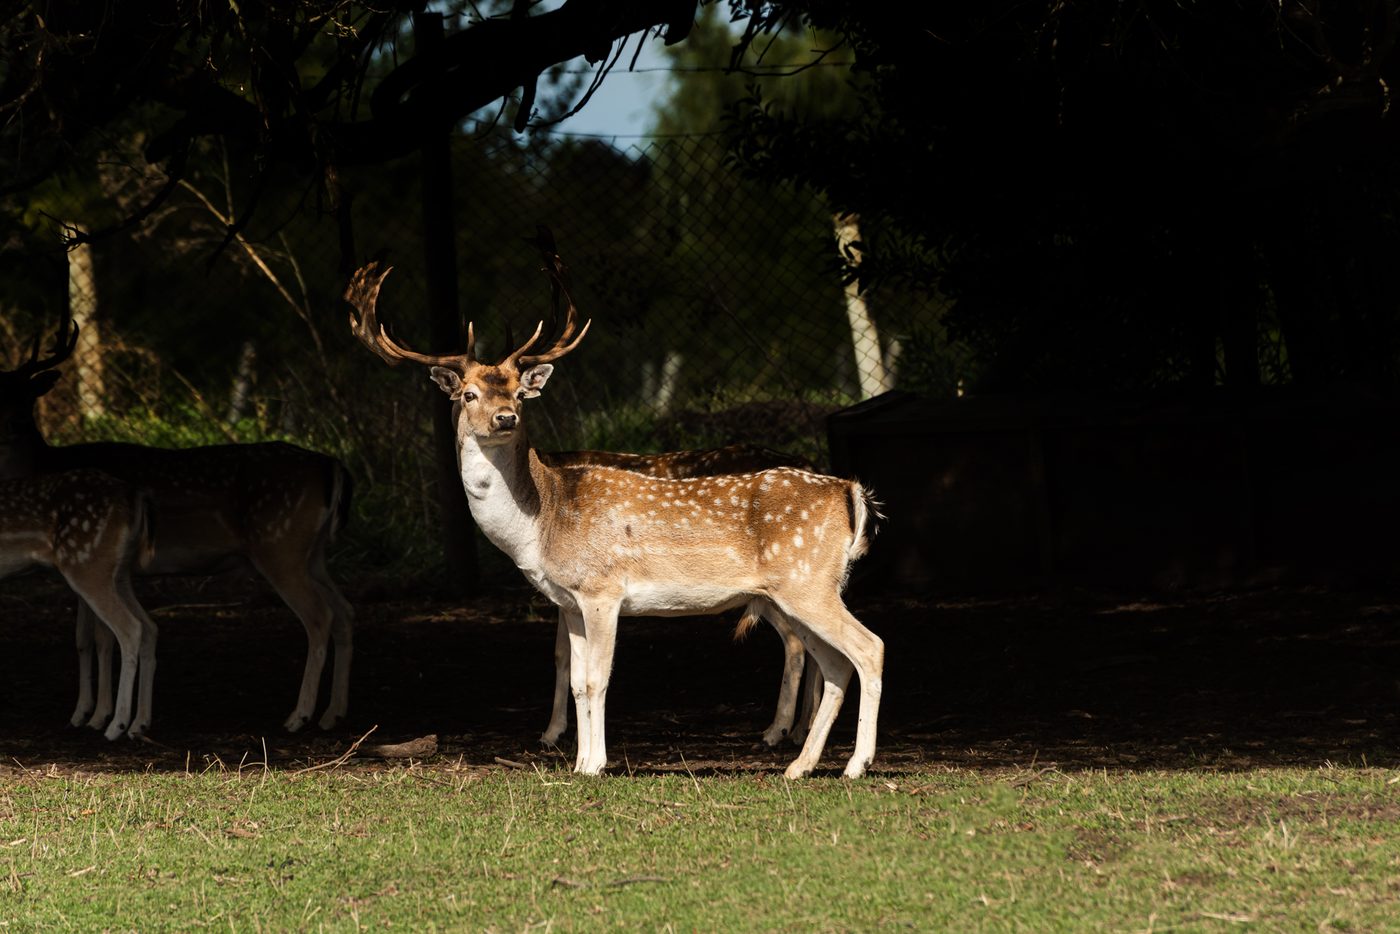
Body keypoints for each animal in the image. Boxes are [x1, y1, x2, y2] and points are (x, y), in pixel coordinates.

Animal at [0, 469, 157, 740]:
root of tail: (133, 494)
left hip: (86, 563)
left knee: (130, 627)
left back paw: (116, 726)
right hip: (118, 572)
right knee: (149, 627)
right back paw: (139, 724)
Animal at [537, 444, 821, 749]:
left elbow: (561, 654)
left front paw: (554, 732)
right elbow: (563, 653)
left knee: (797, 643)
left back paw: (779, 730)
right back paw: (801, 728)